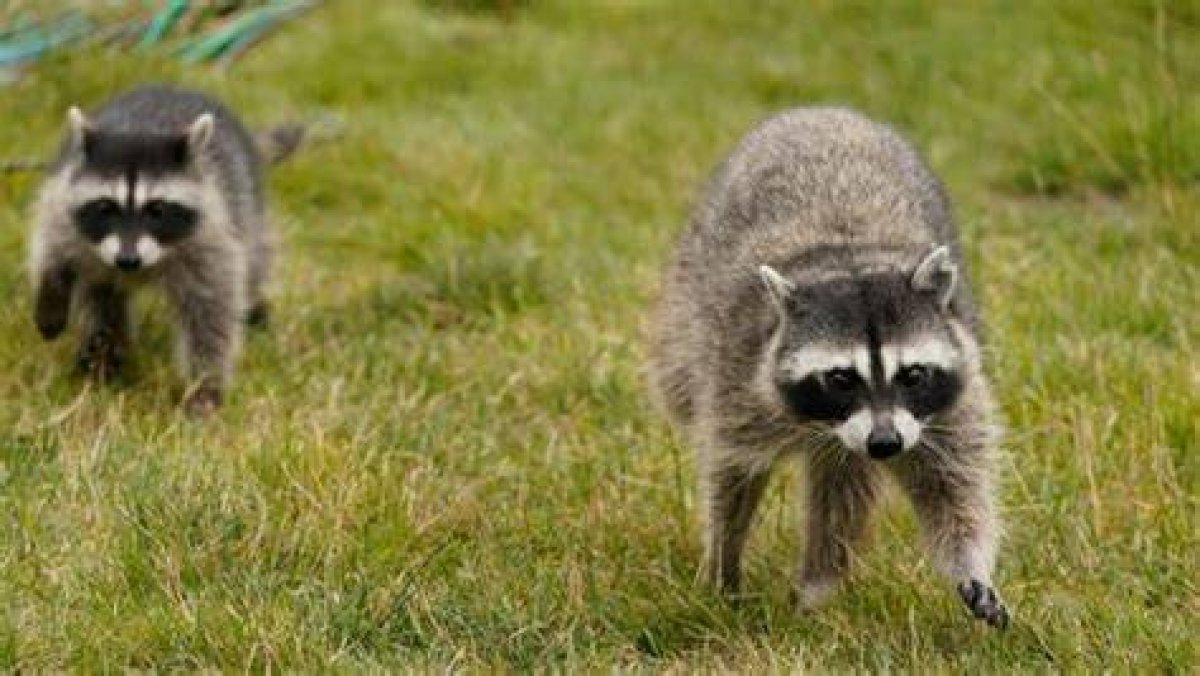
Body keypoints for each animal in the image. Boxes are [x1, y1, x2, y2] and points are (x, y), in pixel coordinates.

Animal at [29, 85, 273, 415]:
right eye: (106, 207)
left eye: (156, 209)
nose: (127, 260)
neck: (140, 129)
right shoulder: (63, 197)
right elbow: (52, 242)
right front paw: (51, 291)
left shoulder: (211, 232)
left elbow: (211, 312)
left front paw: (205, 385)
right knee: (99, 297)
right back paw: (103, 354)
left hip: (245, 202)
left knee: (254, 259)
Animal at [649, 107, 1009, 628]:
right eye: (840, 378)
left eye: (913, 374)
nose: (885, 443)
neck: (849, 256)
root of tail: (820, 110)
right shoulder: (737, 371)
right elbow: (732, 472)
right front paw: (721, 564)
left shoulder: (954, 389)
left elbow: (954, 484)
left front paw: (971, 564)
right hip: (686, 298)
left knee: (842, 489)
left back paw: (819, 583)